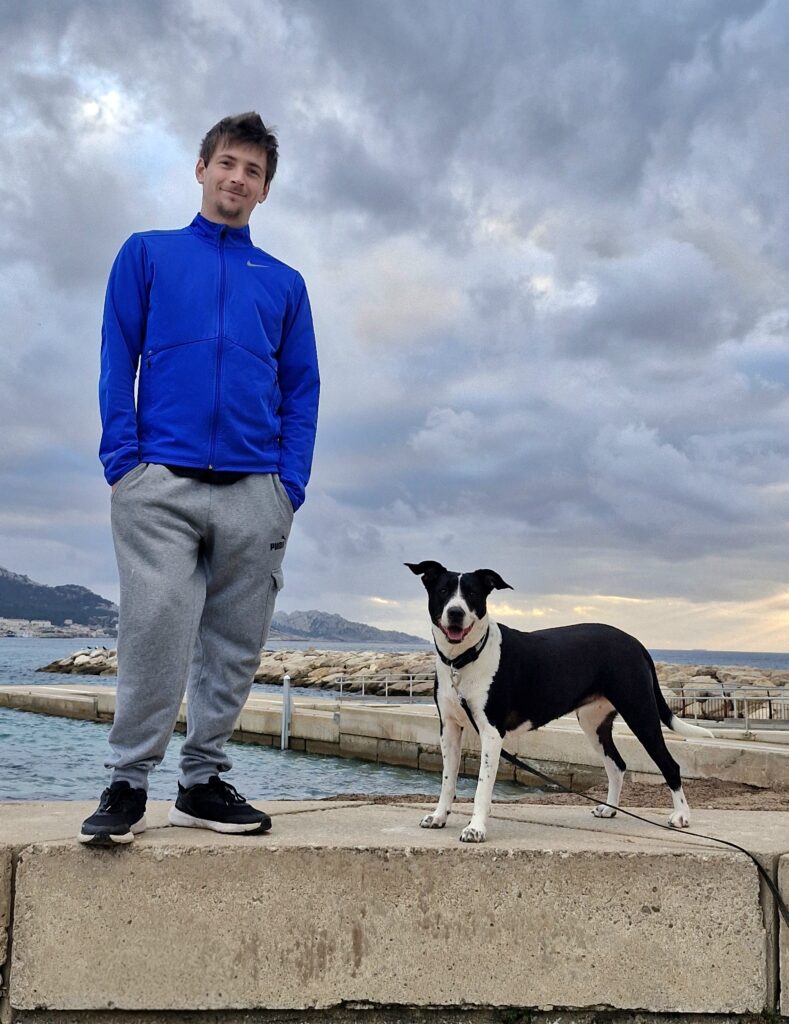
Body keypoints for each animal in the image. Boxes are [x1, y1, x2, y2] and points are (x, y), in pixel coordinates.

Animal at [407, 560, 713, 843]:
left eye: (472, 594)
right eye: (443, 591)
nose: (455, 613)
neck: (464, 659)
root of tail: (635, 643)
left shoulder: (492, 733)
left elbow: (482, 787)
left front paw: (476, 828)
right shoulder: (448, 729)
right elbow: (447, 779)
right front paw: (439, 816)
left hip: (640, 713)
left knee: (670, 765)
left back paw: (681, 815)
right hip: (593, 724)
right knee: (617, 764)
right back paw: (609, 809)